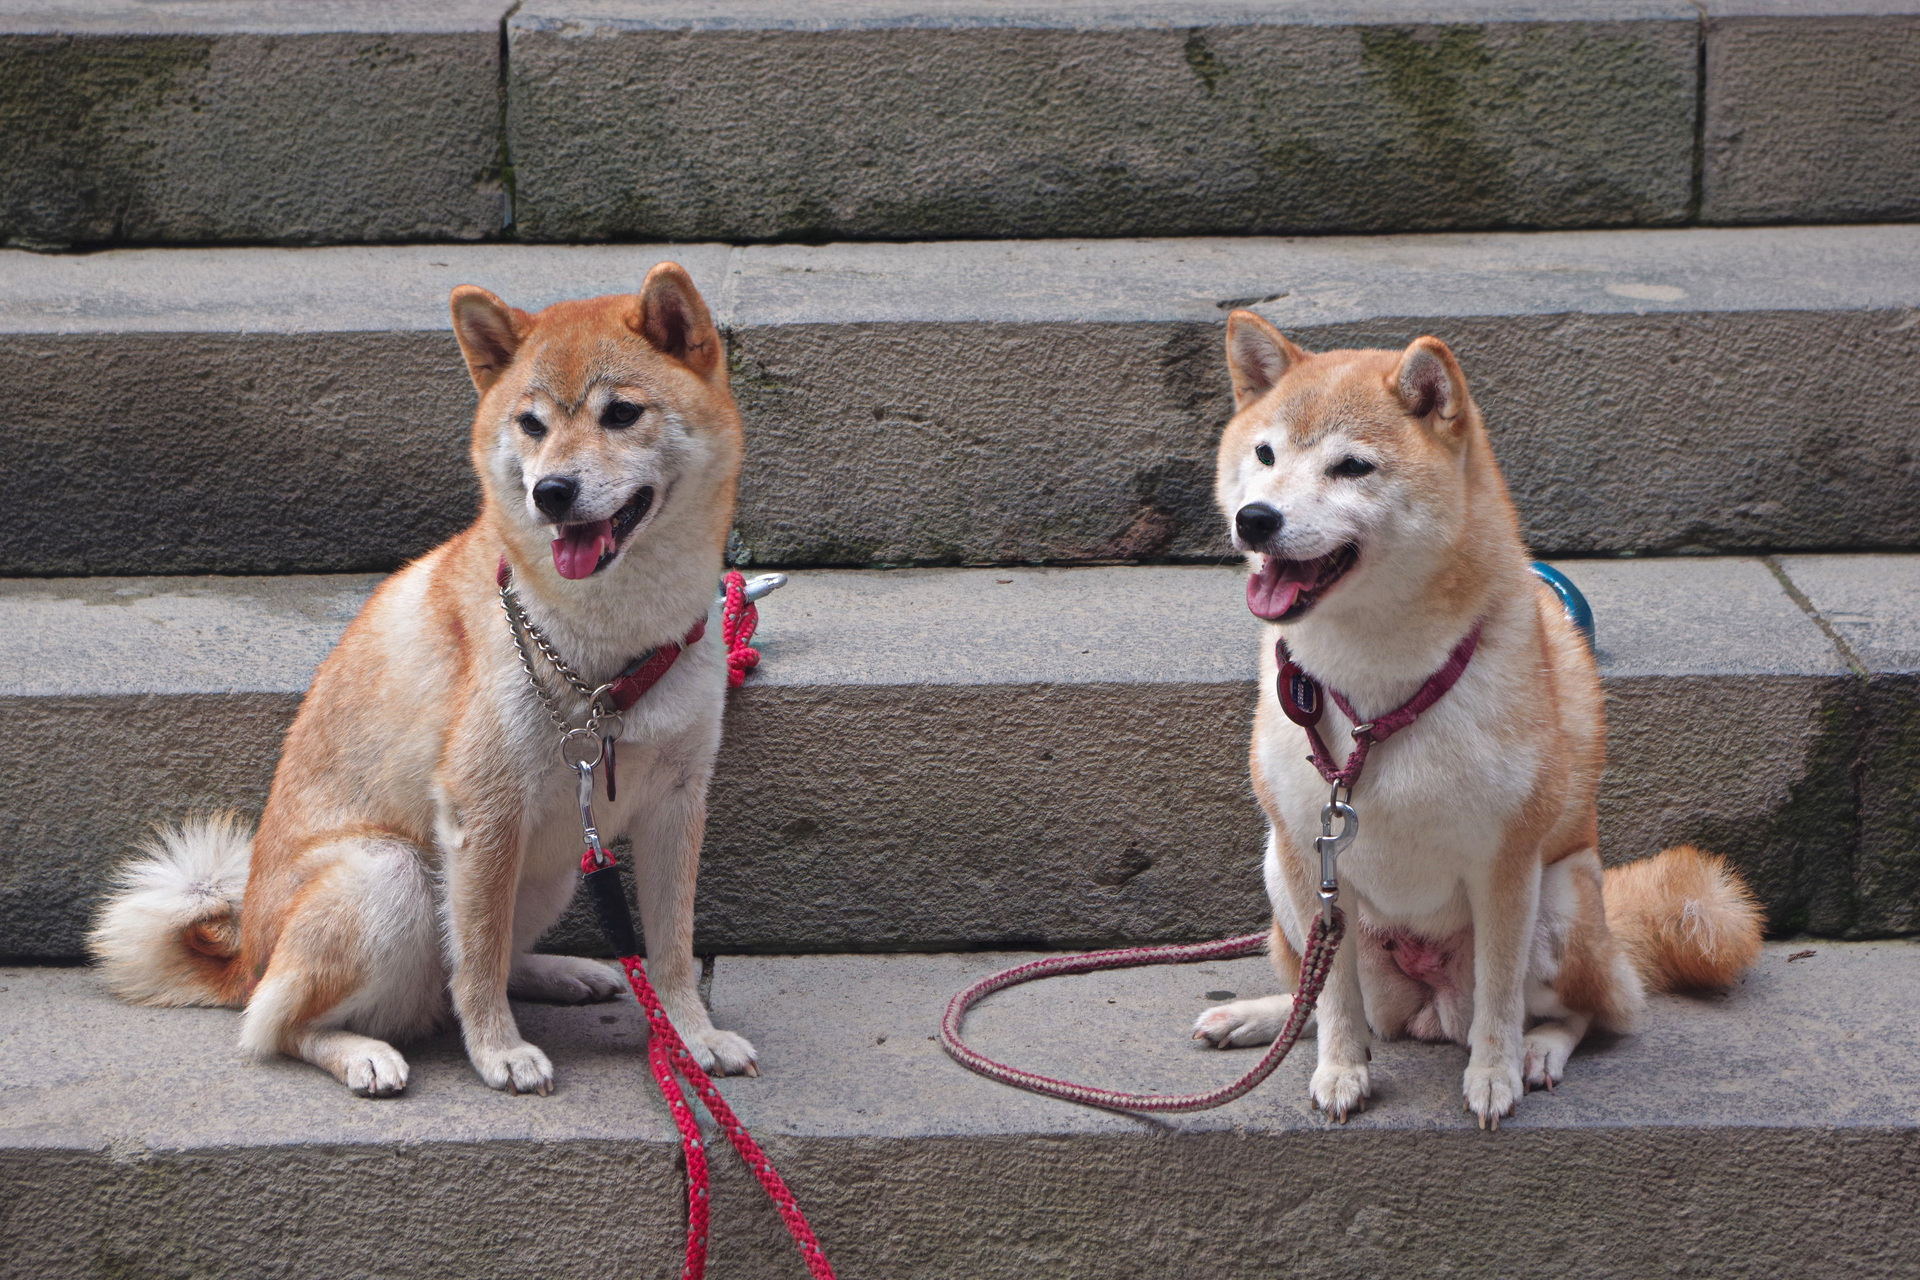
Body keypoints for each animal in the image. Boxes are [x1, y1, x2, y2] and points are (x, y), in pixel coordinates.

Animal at [88, 264, 756, 1097]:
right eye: (532, 424)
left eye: (622, 413)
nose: (551, 492)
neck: (609, 653)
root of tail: (244, 958)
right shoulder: (485, 810)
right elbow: (477, 958)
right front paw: (498, 1051)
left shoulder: (676, 800)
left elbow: (668, 952)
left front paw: (693, 1038)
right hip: (392, 875)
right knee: (282, 1022)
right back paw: (362, 1053)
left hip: (552, 870)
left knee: (473, 961)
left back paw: (557, 971)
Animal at [1190, 314, 1758, 1128]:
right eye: (1265, 455)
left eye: (1352, 467)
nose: (1256, 519)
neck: (1375, 690)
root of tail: (1429, 1006)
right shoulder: (1306, 850)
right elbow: (1333, 1000)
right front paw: (1340, 1071)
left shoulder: (1505, 866)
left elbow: (1499, 997)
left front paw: (1494, 1075)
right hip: (1289, 886)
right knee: (1333, 999)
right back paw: (1264, 1018)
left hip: (1562, 903)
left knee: (1594, 1011)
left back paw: (1539, 1051)